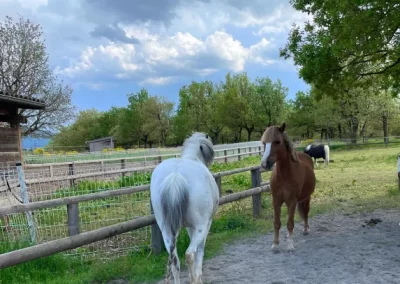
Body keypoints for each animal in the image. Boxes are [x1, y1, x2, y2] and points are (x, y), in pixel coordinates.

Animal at [150, 132, 219, 282]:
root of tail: (175, 177)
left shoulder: (188, 226)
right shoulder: (205, 224)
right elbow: (200, 251)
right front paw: (199, 277)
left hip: (167, 231)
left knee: (175, 262)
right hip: (200, 227)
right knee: (189, 254)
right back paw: (194, 279)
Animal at [260, 123, 318, 252]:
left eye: (277, 142)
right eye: (264, 143)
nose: (264, 163)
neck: (284, 176)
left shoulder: (292, 200)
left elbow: (290, 223)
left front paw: (290, 245)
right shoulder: (276, 200)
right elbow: (277, 223)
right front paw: (275, 245)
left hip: (306, 198)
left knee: (306, 212)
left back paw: (306, 229)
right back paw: (288, 235)